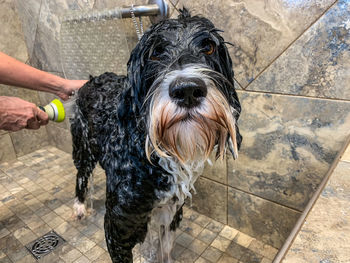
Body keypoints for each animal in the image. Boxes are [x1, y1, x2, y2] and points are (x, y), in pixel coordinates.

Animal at [70, 8, 242, 263]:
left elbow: (166, 246)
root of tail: (90, 80)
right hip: (83, 146)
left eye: (209, 47)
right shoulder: (118, 227)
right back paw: (80, 207)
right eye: (155, 53)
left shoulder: (172, 209)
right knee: (81, 175)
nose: (188, 90)